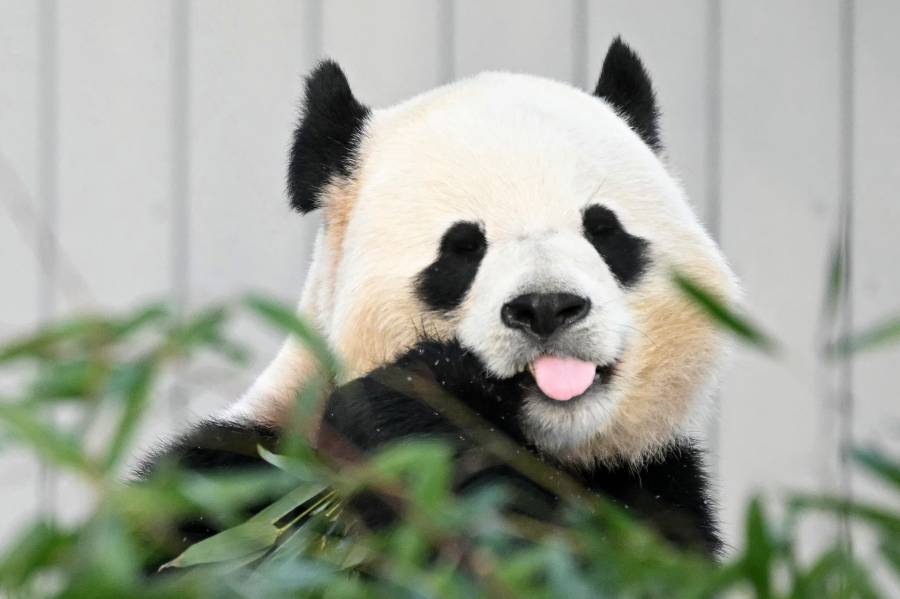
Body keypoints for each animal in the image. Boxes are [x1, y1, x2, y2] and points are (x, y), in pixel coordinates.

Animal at [138, 37, 740, 562]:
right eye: (463, 248)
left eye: (602, 230)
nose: (546, 307)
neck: (552, 446)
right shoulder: (232, 478)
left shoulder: (659, 488)